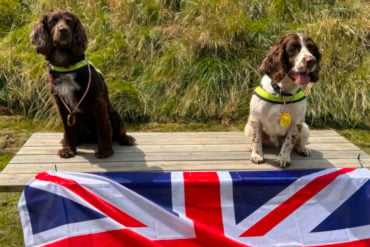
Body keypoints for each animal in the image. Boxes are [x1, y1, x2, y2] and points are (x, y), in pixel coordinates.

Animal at [30, 10, 134, 158]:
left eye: (69, 21)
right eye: (53, 21)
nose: (63, 30)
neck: (66, 66)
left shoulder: (97, 101)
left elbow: (103, 126)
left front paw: (104, 150)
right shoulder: (60, 104)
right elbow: (67, 129)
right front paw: (68, 149)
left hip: (114, 114)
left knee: (118, 130)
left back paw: (126, 139)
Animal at [244, 33, 320, 168]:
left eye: (311, 48)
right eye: (293, 48)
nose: (311, 61)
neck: (282, 92)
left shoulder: (296, 122)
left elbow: (289, 143)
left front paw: (283, 158)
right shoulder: (255, 119)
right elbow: (256, 138)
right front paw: (257, 155)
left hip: (305, 128)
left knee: (299, 143)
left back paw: (303, 149)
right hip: (247, 126)